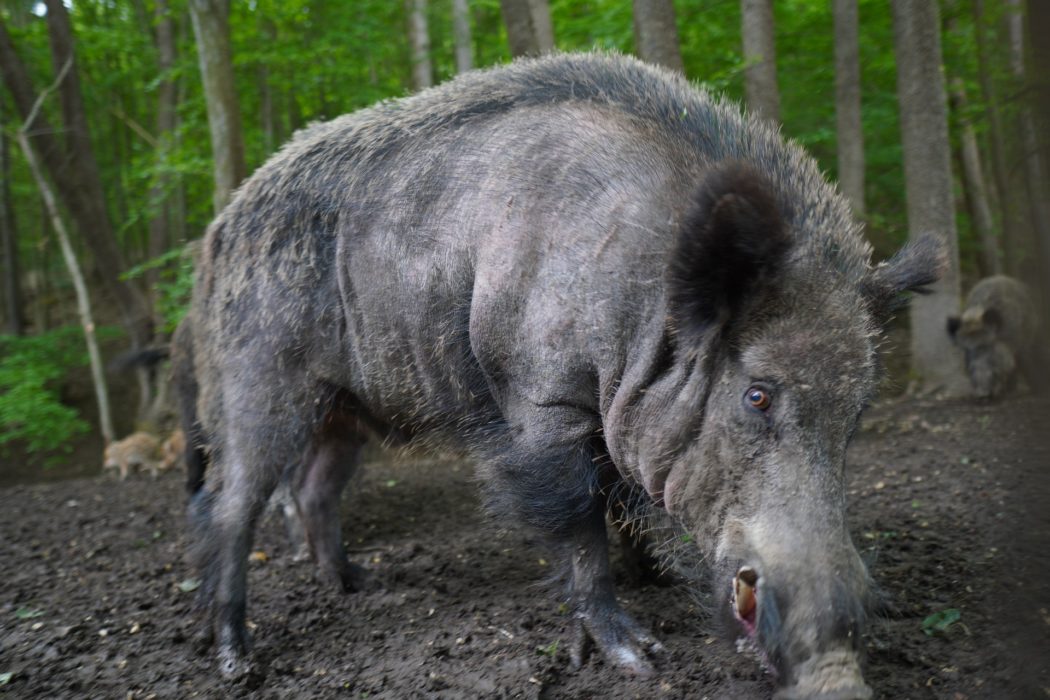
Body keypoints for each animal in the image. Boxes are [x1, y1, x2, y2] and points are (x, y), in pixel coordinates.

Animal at [185, 53, 942, 698]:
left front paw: (653, 581)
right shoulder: (542, 401)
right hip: (256, 381)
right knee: (231, 503)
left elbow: (624, 503)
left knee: (314, 490)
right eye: (757, 395)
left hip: (344, 410)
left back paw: (357, 586)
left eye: (856, 415)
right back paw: (236, 661)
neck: (640, 310)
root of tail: (217, 231)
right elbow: (579, 520)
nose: (839, 677)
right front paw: (638, 657)